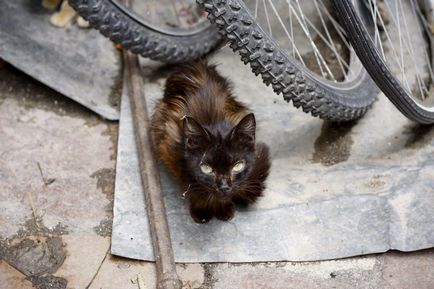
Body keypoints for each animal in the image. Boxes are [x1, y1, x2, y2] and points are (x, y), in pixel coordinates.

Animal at [151, 60, 270, 223]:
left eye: (238, 166)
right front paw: (202, 209)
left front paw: (224, 208)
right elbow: (189, 186)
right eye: (206, 168)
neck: (213, 121)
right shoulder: (170, 146)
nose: (224, 187)